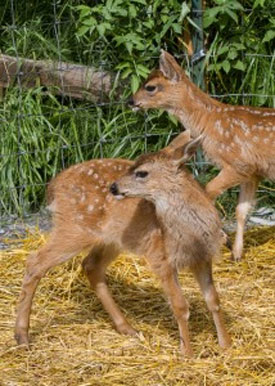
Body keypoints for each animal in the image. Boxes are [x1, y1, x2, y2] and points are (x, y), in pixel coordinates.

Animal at [14, 132, 232, 356]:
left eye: (142, 173)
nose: (114, 187)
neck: (190, 233)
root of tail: (54, 186)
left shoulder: (203, 257)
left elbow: (214, 300)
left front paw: (226, 344)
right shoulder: (161, 258)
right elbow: (180, 305)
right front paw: (187, 352)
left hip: (112, 239)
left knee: (91, 266)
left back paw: (127, 328)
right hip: (74, 228)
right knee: (35, 262)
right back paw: (22, 336)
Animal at [129, 49, 275, 260]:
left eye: (150, 87)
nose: (130, 101)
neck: (210, 121)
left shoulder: (238, 164)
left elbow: (207, 192)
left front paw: (222, 238)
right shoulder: (253, 171)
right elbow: (242, 210)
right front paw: (236, 252)